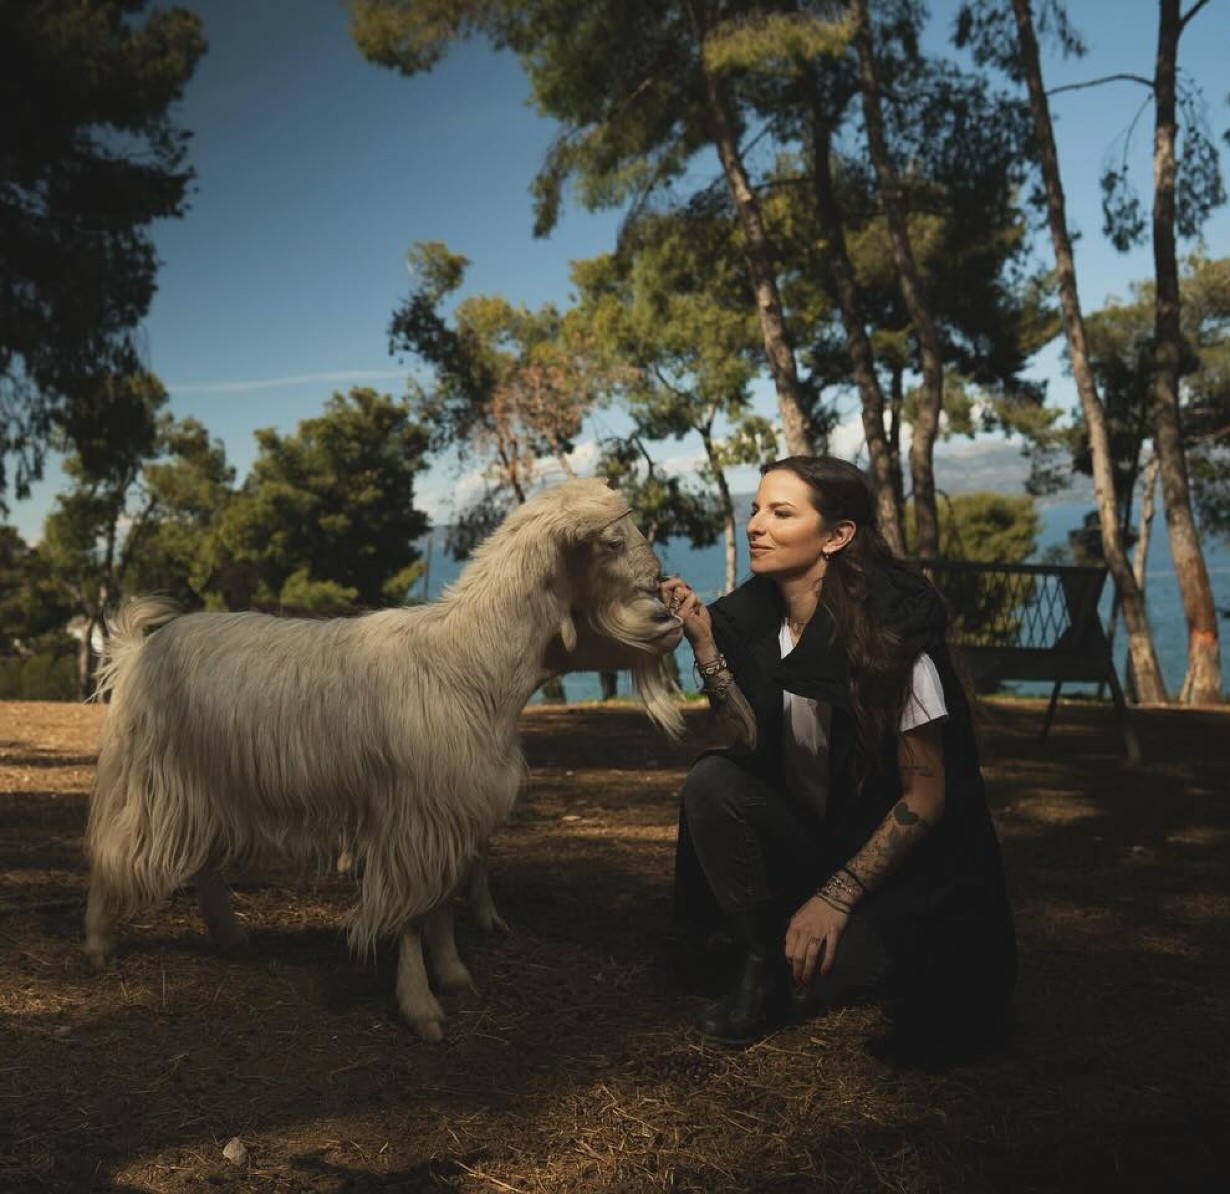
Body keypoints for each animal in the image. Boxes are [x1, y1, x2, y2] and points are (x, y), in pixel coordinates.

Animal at [84, 482, 683, 1042]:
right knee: (110, 850)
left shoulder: (452, 810)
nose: (661, 585)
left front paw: (453, 972)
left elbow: (442, 902)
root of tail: (138, 652)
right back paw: (97, 942)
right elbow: (413, 916)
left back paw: (232, 938)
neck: (471, 660)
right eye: (612, 542)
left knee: (204, 862)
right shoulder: (412, 818)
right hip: (147, 779)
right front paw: (420, 1005)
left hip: (208, 784)